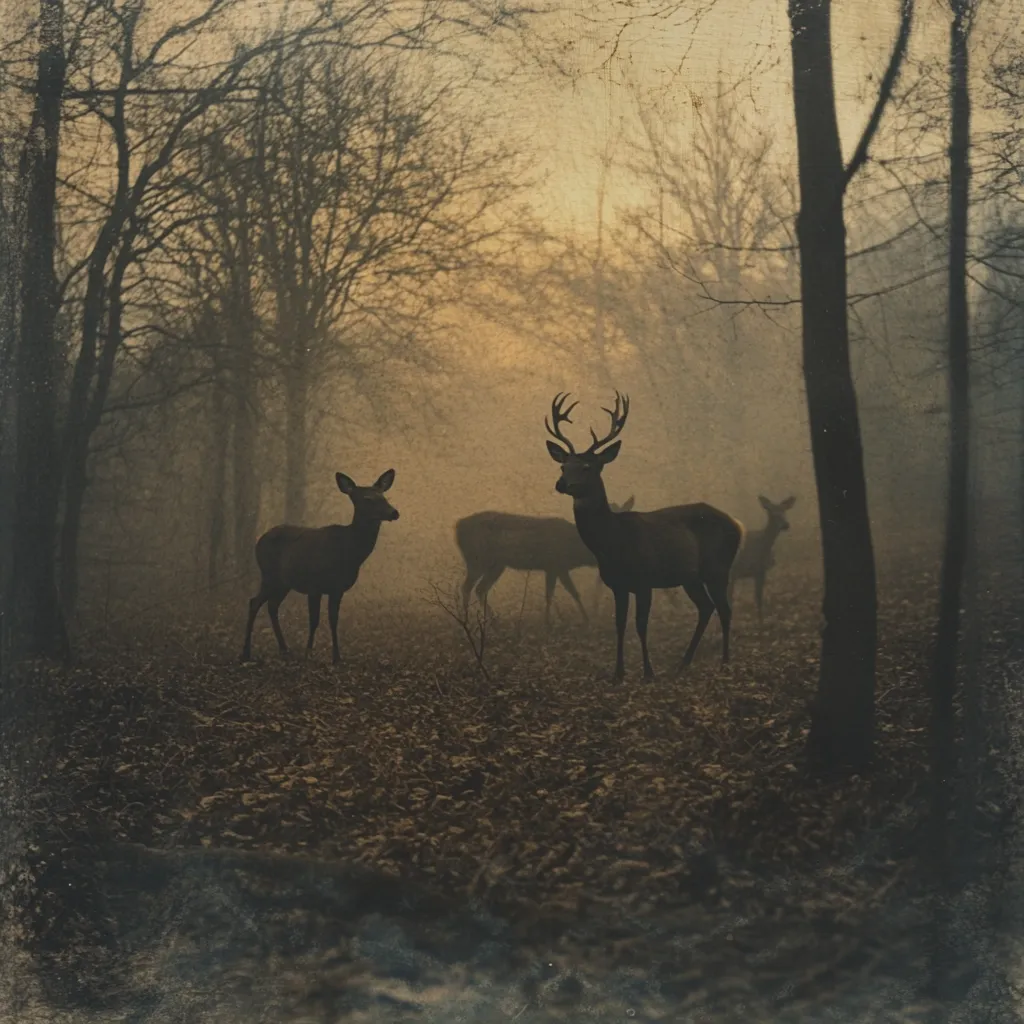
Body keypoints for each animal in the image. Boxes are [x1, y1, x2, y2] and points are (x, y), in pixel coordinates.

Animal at [240, 469, 399, 665]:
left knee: (271, 605)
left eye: (384, 496)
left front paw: (337, 657)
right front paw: (308, 653)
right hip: (269, 574)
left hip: (283, 582)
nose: (394, 512)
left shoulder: (337, 589)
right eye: (367, 498)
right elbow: (314, 620)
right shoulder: (314, 585)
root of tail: (259, 541)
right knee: (254, 602)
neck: (349, 554)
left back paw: (284, 649)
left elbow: (333, 620)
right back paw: (246, 652)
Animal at [455, 497, 636, 629]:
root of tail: (457, 527)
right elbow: (562, 593)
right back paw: (466, 621)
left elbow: (560, 593)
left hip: (496, 565)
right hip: (477, 559)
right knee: (467, 587)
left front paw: (558, 620)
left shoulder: (556, 568)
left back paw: (492, 619)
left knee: (480, 589)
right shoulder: (556, 564)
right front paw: (572, 620)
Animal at [544, 392, 744, 680]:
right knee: (706, 607)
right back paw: (683, 662)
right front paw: (618, 673)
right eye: (562, 466)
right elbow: (619, 625)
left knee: (725, 609)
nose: (561, 484)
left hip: (717, 567)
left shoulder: (644, 580)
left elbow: (641, 625)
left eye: (587, 466)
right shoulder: (618, 584)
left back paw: (725, 663)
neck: (612, 542)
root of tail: (738, 525)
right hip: (690, 576)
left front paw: (648, 672)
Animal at [728, 495, 796, 623]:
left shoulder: (760, 571)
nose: (786, 525)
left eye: (784, 511)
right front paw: (761, 623)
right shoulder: (758, 569)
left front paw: (761, 620)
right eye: (772, 513)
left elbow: (759, 597)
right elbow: (758, 597)